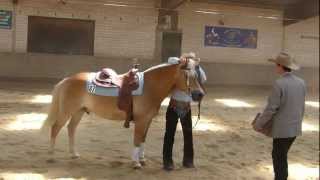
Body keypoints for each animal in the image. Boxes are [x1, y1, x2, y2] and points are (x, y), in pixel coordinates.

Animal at [41, 57, 205, 169]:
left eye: (197, 75)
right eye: (188, 76)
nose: (199, 94)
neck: (150, 87)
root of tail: (67, 80)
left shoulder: (147, 120)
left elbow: (143, 139)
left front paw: (142, 160)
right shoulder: (141, 121)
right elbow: (137, 140)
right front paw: (136, 163)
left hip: (78, 112)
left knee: (71, 129)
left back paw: (74, 154)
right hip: (66, 112)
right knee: (55, 128)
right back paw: (51, 156)